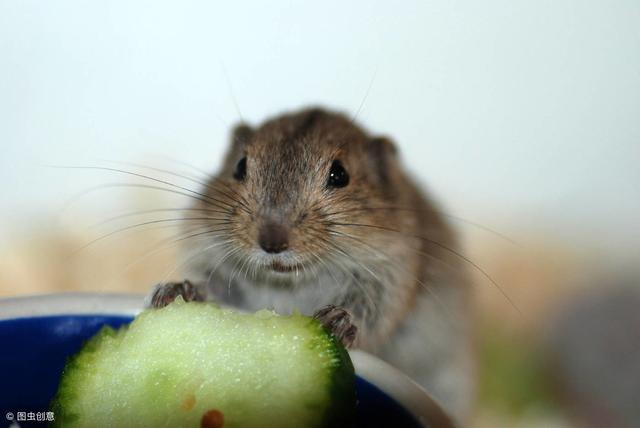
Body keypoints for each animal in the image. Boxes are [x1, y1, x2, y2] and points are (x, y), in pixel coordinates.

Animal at [148, 108, 472, 424]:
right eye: (239, 166)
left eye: (340, 174)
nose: (272, 244)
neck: (288, 282)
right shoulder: (209, 256)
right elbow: (210, 284)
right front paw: (175, 293)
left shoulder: (388, 276)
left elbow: (366, 313)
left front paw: (333, 321)